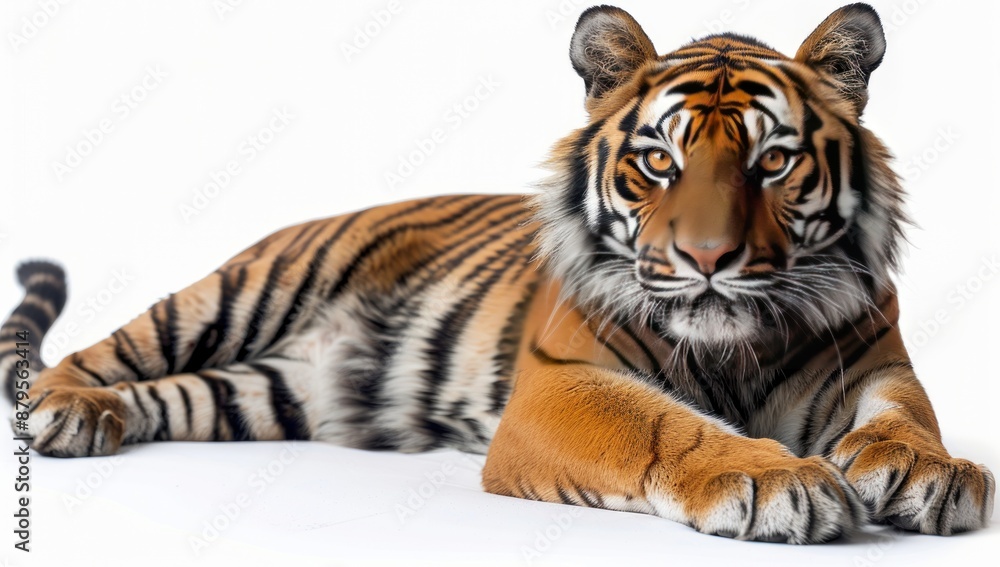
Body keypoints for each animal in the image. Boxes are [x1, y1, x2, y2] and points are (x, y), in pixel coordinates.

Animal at [1, 3, 993, 544]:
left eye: (772, 162)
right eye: (660, 162)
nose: (707, 259)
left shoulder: (878, 360)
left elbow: (909, 414)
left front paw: (928, 469)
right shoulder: (560, 385)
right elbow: (663, 425)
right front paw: (774, 477)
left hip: (265, 393)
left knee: (172, 392)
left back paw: (108, 420)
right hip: (249, 283)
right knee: (106, 348)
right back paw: (67, 409)